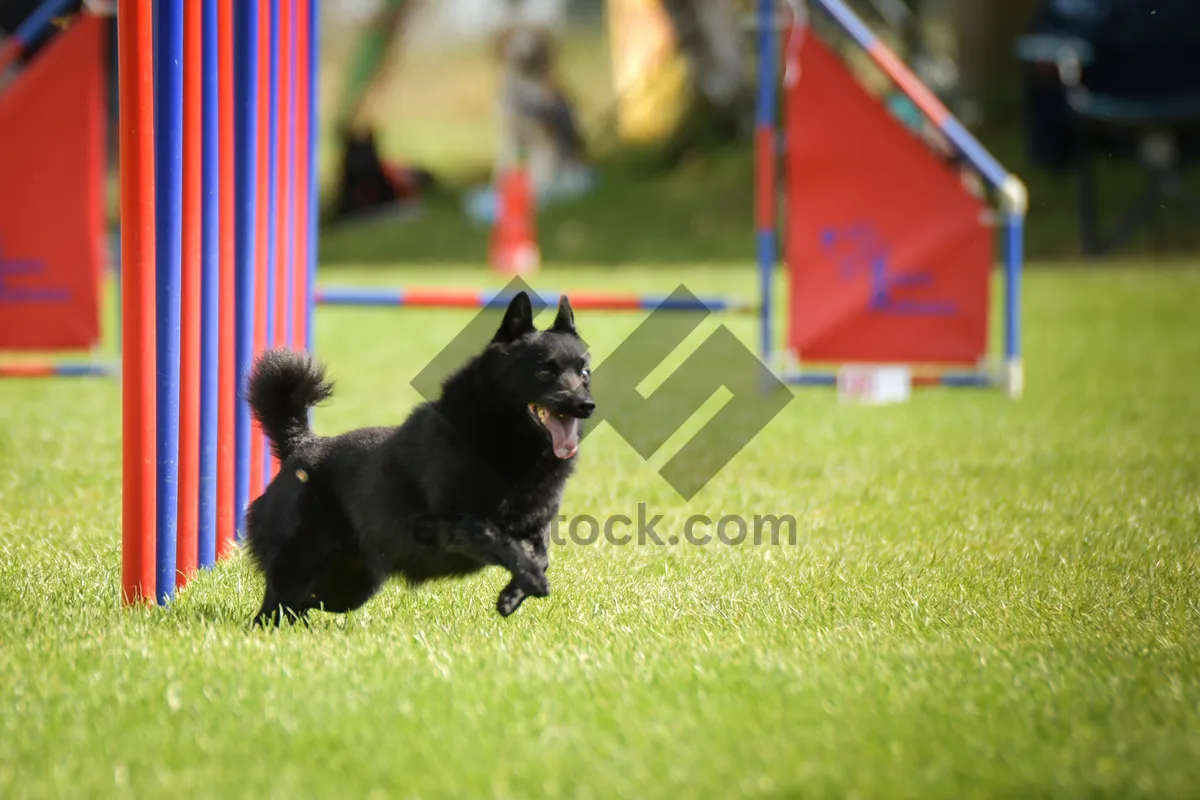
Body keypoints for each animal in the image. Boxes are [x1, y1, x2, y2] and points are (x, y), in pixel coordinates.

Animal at [242, 293, 595, 623]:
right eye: (544, 371)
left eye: (584, 373)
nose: (586, 405)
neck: (508, 444)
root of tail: (302, 446)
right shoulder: (456, 522)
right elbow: (501, 540)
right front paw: (532, 581)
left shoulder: (536, 524)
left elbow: (540, 555)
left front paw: (512, 595)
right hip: (299, 565)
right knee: (274, 608)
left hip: (351, 585)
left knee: (306, 605)